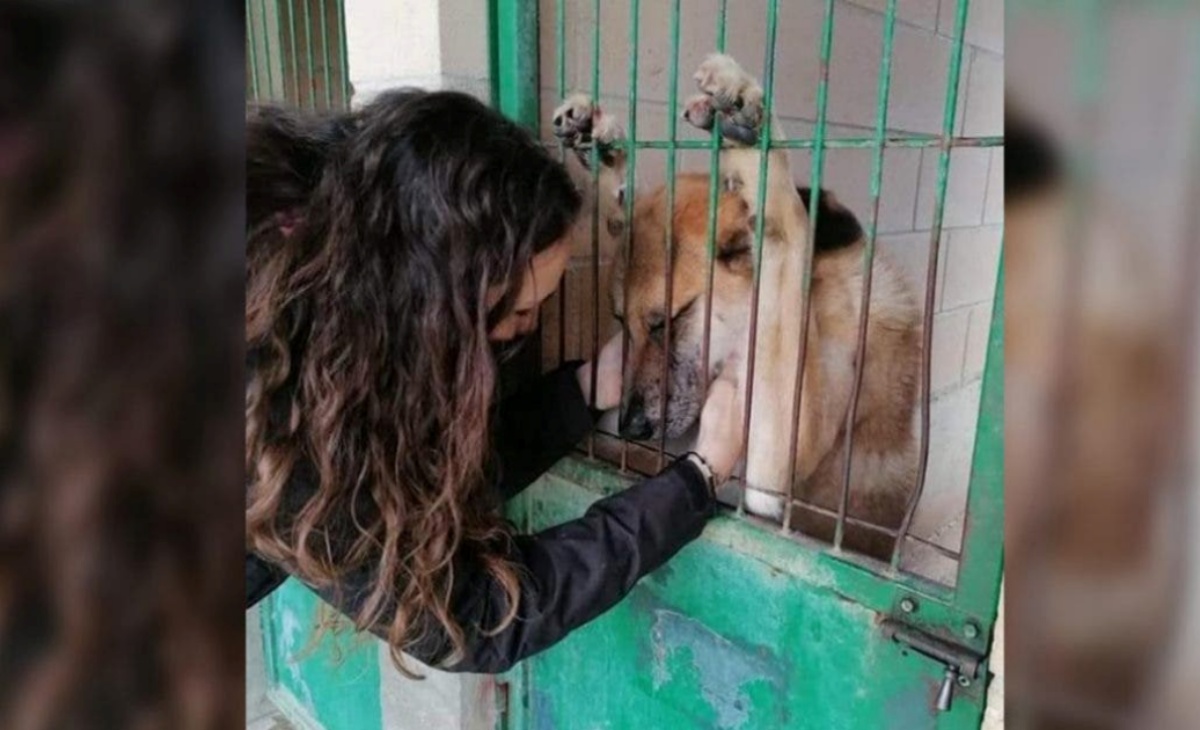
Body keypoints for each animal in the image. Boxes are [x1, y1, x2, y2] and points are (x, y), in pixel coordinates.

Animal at [549, 55, 921, 559]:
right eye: (621, 322)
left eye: (671, 319)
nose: (631, 429)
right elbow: (621, 210)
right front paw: (605, 153)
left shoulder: (773, 472)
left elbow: (786, 233)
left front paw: (751, 129)